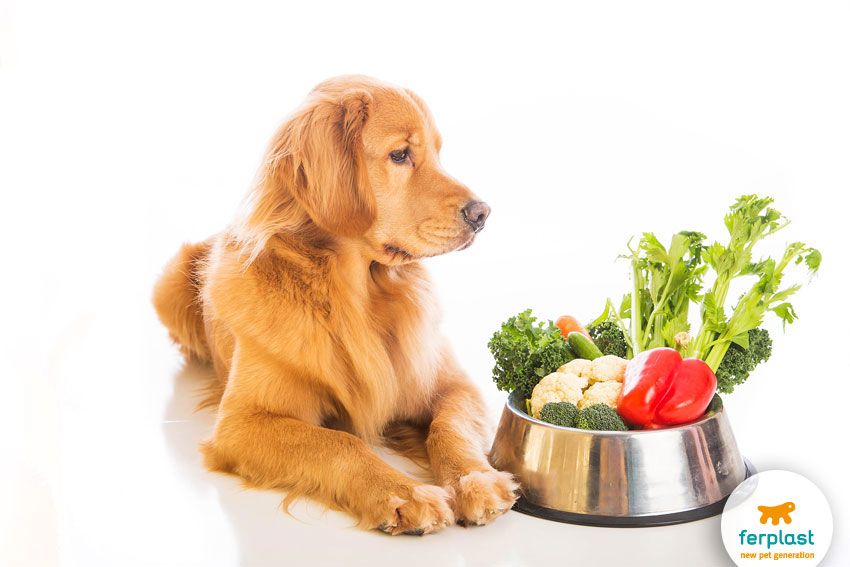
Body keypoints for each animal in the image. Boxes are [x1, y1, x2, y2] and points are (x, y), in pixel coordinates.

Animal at [154, 76, 516, 536]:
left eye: (438, 152)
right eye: (400, 155)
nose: (483, 213)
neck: (354, 298)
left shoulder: (452, 382)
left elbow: (450, 427)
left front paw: (476, 481)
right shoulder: (243, 422)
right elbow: (341, 442)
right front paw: (403, 492)